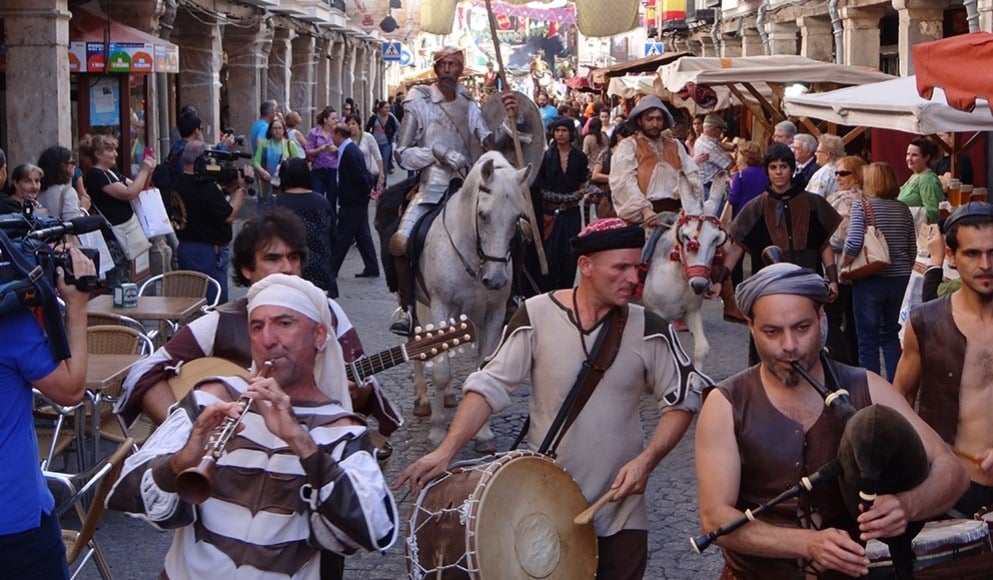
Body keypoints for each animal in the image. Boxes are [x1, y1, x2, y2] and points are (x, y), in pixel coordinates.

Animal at [412, 152, 536, 450]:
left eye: (516, 218)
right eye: (483, 215)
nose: (496, 280)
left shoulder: (493, 314)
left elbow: (484, 370)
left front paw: (484, 434)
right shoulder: (441, 306)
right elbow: (441, 370)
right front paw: (437, 431)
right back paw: (423, 399)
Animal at [640, 174, 732, 370]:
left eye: (716, 239)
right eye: (686, 237)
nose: (699, 285)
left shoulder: (692, 311)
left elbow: (701, 349)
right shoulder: (658, 316)